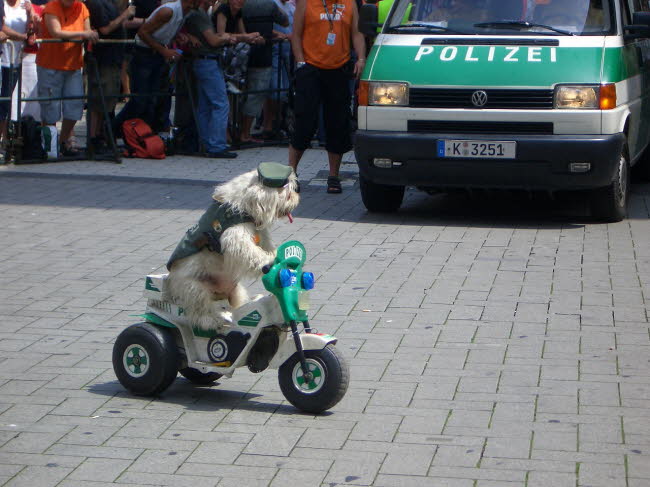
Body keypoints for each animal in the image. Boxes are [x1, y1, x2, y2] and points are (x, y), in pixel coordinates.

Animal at [166, 164, 300, 332]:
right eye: (288, 194)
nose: (297, 197)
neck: (245, 204)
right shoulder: (235, 237)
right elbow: (251, 252)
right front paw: (270, 261)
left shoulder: (260, 234)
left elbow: (265, 247)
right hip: (195, 288)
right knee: (199, 310)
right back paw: (211, 321)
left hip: (236, 291)